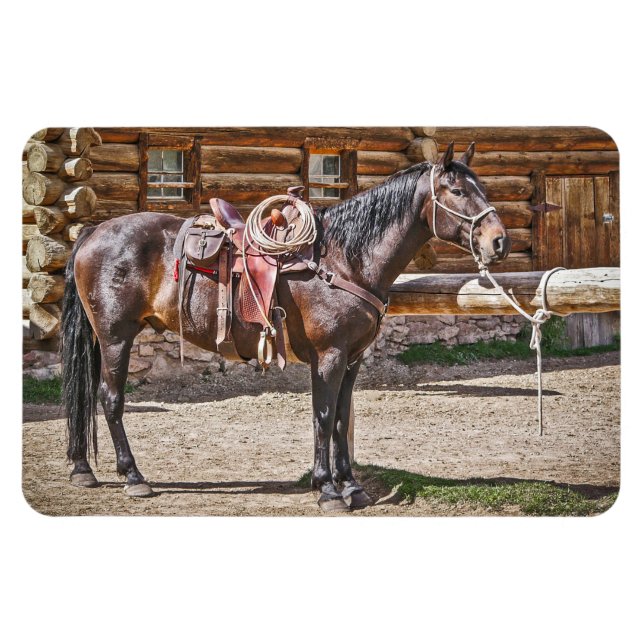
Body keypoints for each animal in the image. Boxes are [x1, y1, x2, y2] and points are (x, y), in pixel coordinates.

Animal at [60, 141, 510, 512]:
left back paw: (83, 469)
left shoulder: (353, 359)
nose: (499, 241)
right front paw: (327, 489)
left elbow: (342, 418)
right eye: (457, 191)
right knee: (111, 399)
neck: (344, 260)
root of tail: (94, 231)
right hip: (116, 337)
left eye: (482, 188)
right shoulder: (329, 356)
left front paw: (351, 486)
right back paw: (133, 476)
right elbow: (324, 416)